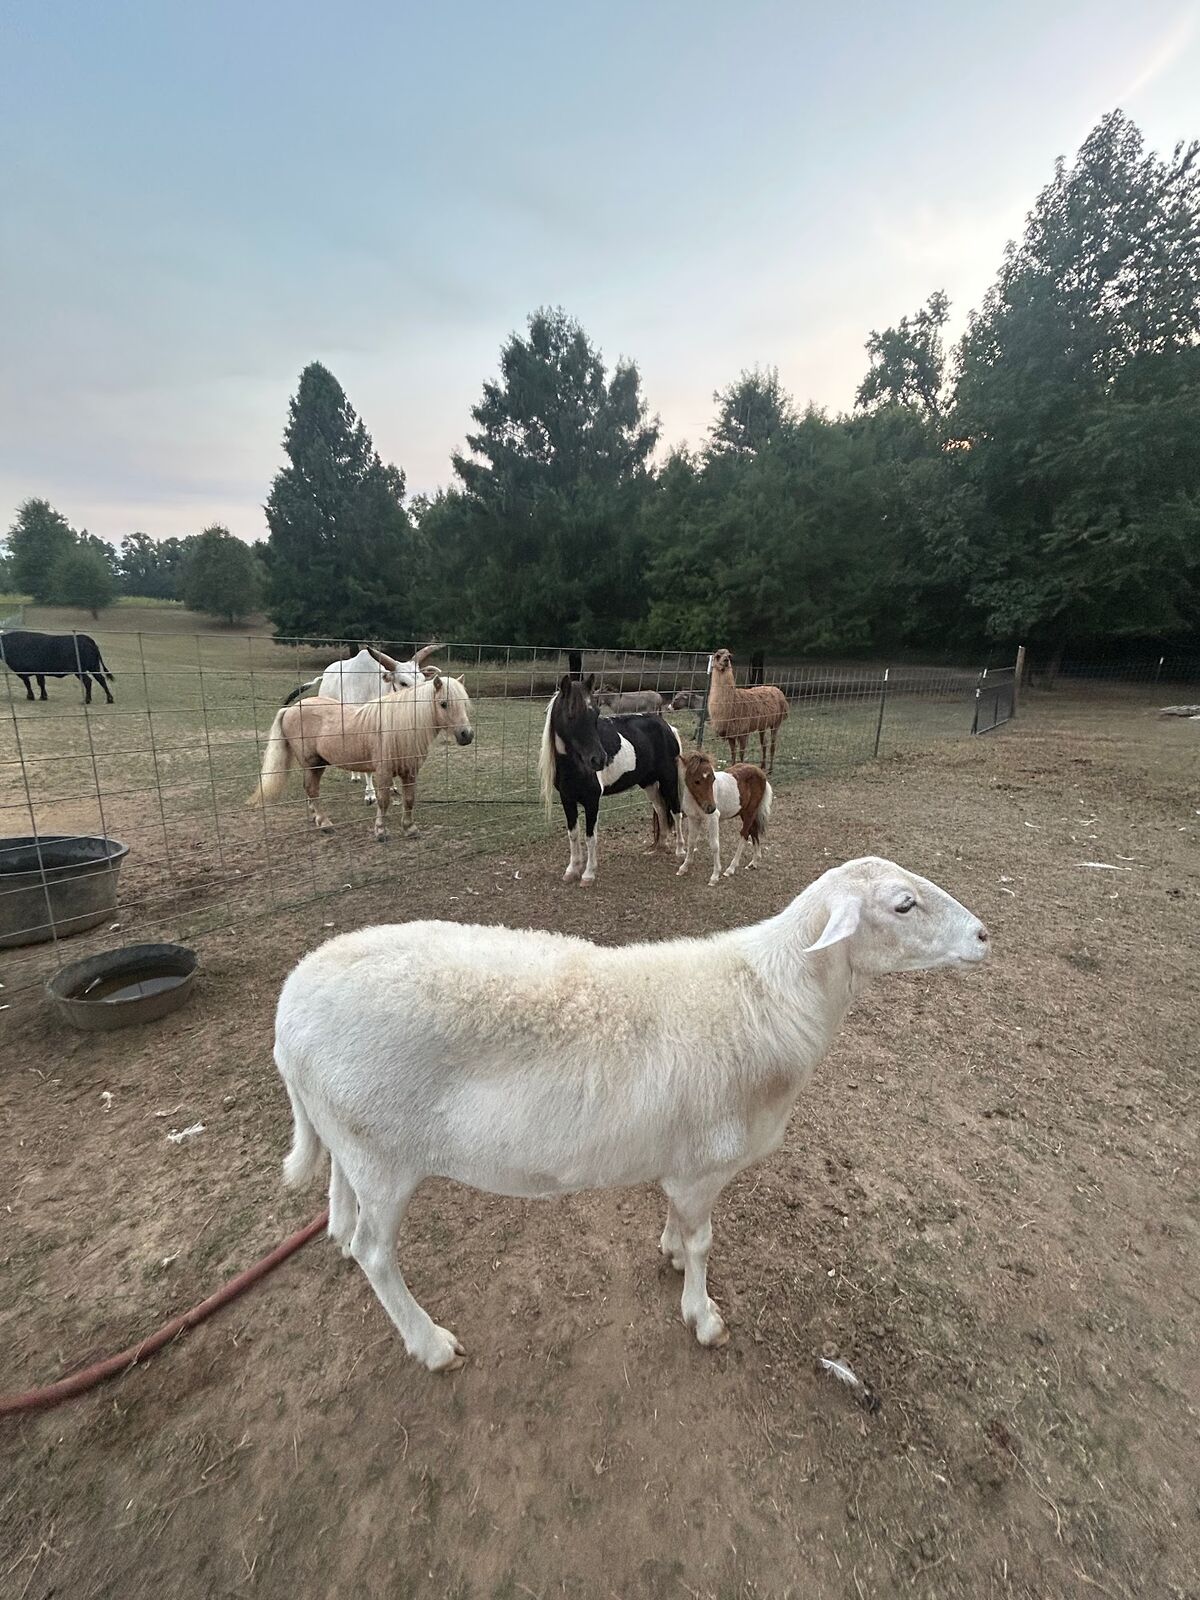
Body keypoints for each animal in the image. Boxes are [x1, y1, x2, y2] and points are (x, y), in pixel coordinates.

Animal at [250, 675, 473, 840]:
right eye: (443, 704)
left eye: (464, 703)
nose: (467, 735)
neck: (402, 726)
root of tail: (290, 709)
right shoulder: (383, 772)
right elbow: (383, 801)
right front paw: (381, 831)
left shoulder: (410, 772)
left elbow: (409, 799)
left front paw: (410, 828)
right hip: (312, 763)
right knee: (312, 790)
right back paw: (325, 823)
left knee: (310, 790)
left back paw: (315, 817)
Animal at [273, 856, 989, 1372]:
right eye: (903, 904)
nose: (985, 935)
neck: (773, 998)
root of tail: (289, 1007)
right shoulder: (706, 1163)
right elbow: (704, 1241)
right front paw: (703, 1316)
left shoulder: (683, 1157)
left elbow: (678, 1222)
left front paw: (669, 1253)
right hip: (383, 1154)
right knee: (375, 1252)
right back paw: (431, 1344)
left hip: (352, 1139)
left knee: (343, 1208)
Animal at [537, 674, 684, 886]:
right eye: (571, 713)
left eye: (596, 714)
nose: (599, 759)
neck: (574, 764)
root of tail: (668, 727)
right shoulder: (567, 799)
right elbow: (573, 834)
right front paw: (572, 870)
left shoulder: (592, 801)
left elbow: (590, 836)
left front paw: (588, 874)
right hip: (649, 783)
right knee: (661, 809)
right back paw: (659, 847)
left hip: (669, 779)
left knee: (676, 811)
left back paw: (681, 852)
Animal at [676, 752, 773, 886]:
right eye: (697, 781)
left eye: (713, 779)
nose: (711, 808)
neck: (696, 801)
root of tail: (761, 773)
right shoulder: (693, 818)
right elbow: (691, 842)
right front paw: (684, 867)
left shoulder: (713, 819)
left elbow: (714, 845)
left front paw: (715, 876)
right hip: (744, 812)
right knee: (753, 830)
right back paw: (753, 862)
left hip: (750, 811)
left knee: (745, 834)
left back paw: (730, 869)